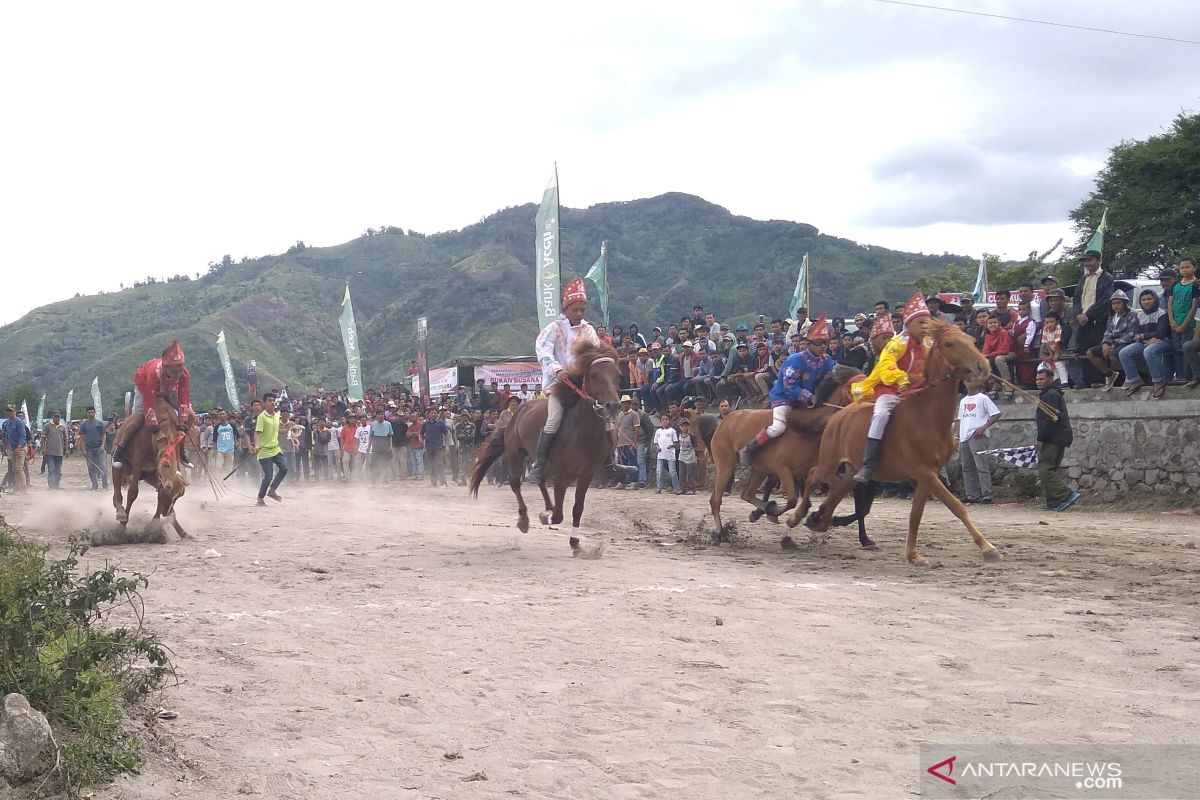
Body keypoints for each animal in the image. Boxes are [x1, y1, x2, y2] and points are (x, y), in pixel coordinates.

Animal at [111, 398, 189, 542]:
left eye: (177, 498)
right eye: (170, 496)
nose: (167, 512)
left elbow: (159, 493)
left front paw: (154, 524)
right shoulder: (137, 463)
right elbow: (133, 492)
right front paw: (122, 526)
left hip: (150, 476)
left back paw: (183, 532)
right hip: (119, 467)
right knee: (117, 494)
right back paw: (120, 512)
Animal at [465, 340, 624, 554]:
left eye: (617, 375)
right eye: (593, 375)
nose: (612, 406)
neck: (582, 431)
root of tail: (515, 413)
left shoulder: (586, 474)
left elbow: (577, 508)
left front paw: (575, 543)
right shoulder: (563, 475)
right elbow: (559, 515)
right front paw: (545, 517)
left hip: (543, 461)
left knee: (539, 479)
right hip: (515, 453)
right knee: (515, 483)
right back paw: (524, 520)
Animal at [787, 316, 1003, 563]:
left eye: (971, 340)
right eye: (949, 343)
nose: (983, 366)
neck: (927, 417)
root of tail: (839, 414)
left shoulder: (929, 473)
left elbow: (916, 514)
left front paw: (913, 554)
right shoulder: (923, 471)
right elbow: (956, 505)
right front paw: (988, 548)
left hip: (854, 470)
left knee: (838, 490)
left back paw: (819, 520)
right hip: (830, 460)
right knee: (814, 476)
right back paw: (797, 517)